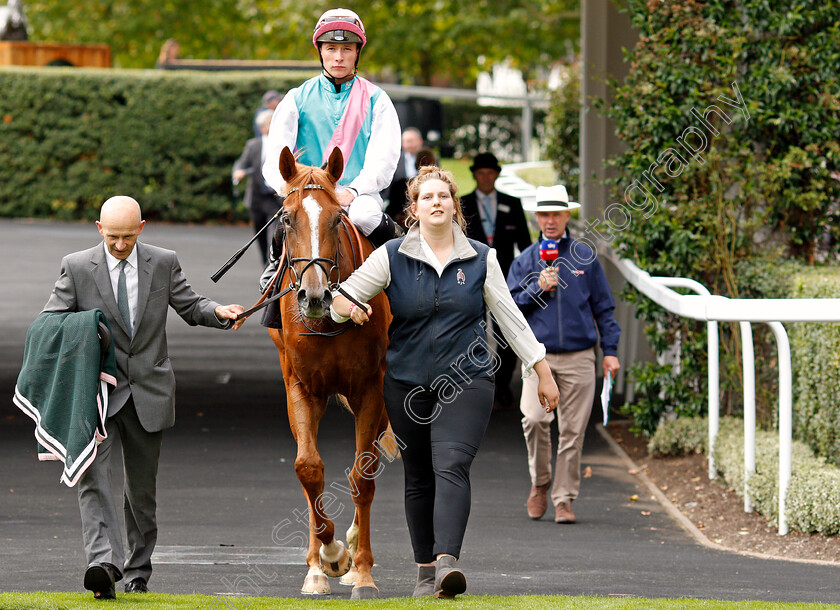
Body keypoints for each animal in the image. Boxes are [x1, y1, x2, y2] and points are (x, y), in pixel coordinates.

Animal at [272, 146, 394, 592]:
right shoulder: (301, 387)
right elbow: (308, 468)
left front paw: (361, 569)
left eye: (336, 218)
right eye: (287, 218)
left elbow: (362, 475)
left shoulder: (371, 389)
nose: (314, 296)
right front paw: (326, 558)